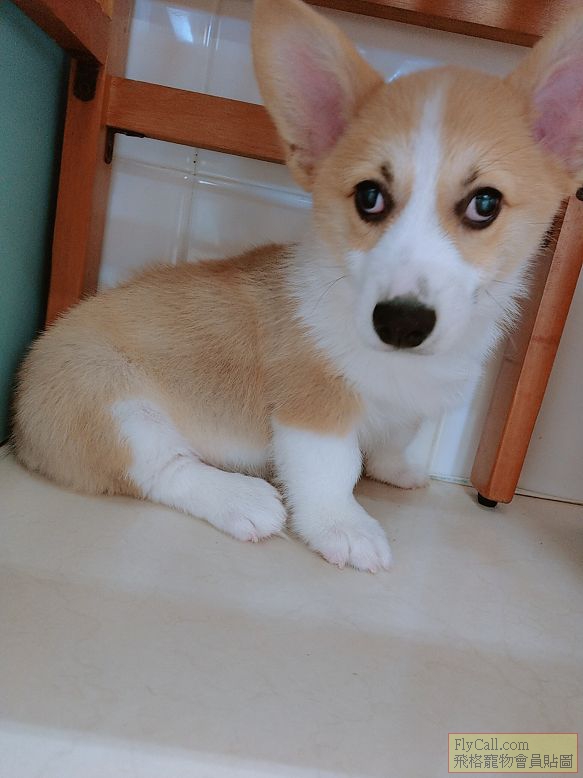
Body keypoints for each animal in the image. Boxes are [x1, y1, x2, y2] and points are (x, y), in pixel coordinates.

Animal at [13, 0, 583, 571]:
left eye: (485, 204)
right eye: (369, 197)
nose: (400, 323)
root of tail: (21, 418)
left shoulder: (409, 406)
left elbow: (396, 437)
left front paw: (396, 471)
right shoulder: (315, 407)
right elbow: (332, 471)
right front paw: (344, 528)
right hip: (115, 404)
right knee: (161, 469)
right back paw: (243, 499)